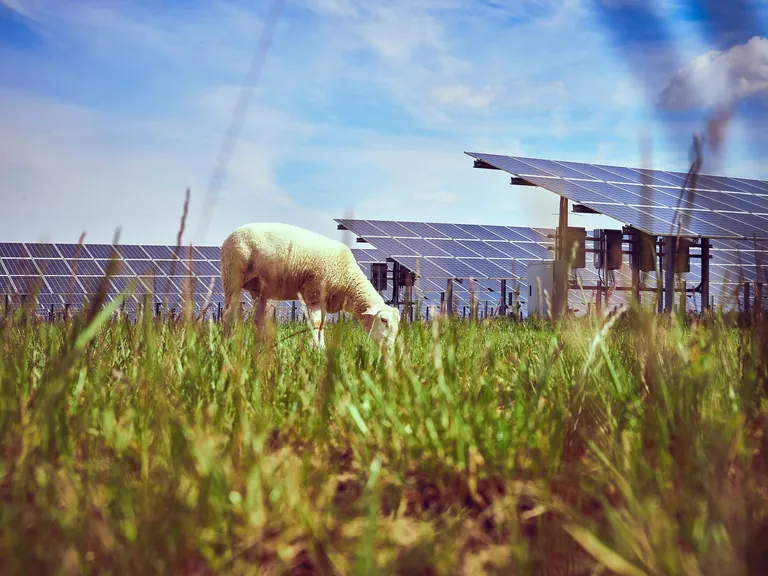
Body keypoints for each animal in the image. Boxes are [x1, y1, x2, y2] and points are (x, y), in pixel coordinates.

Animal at [220, 222, 401, 350]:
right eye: (383, 320)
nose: (389, 349)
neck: (348, 282)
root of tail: (230, 235)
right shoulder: (314, 293)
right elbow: (316, 323)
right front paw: (314, 348)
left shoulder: (324, 299)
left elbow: (323, 325)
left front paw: (321, 347)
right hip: (232, 277)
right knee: (227, 315)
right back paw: (227, 343)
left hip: (260, 289)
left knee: (258, 319)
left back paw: (260, 347)